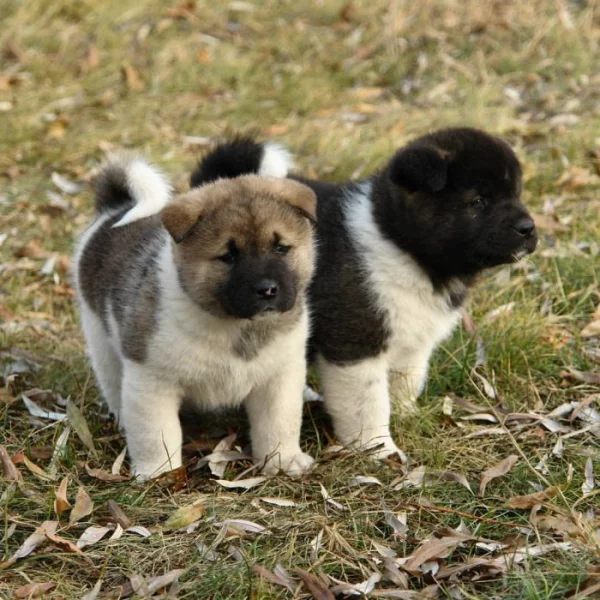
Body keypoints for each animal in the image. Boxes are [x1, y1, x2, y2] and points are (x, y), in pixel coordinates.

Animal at [74, 152, 318, 480]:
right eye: (229, 256)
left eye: (281, 248)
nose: (267, 289)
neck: (236, 326)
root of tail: (115, 210)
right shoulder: (151, 381)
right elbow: (157, 434)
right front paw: (157, 473)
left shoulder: (279, 377)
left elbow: (280, 423)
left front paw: (283, 460)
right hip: (100, 339)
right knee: (112, 382)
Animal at [189, 130, 540, 460]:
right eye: (478, 201)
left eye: (516, 194)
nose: (529, 229)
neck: (400, 245)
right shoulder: (355, 345)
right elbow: (368, 405)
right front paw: (378, 450)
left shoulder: (412, 341)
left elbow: (404, 382)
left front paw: (407, 415)